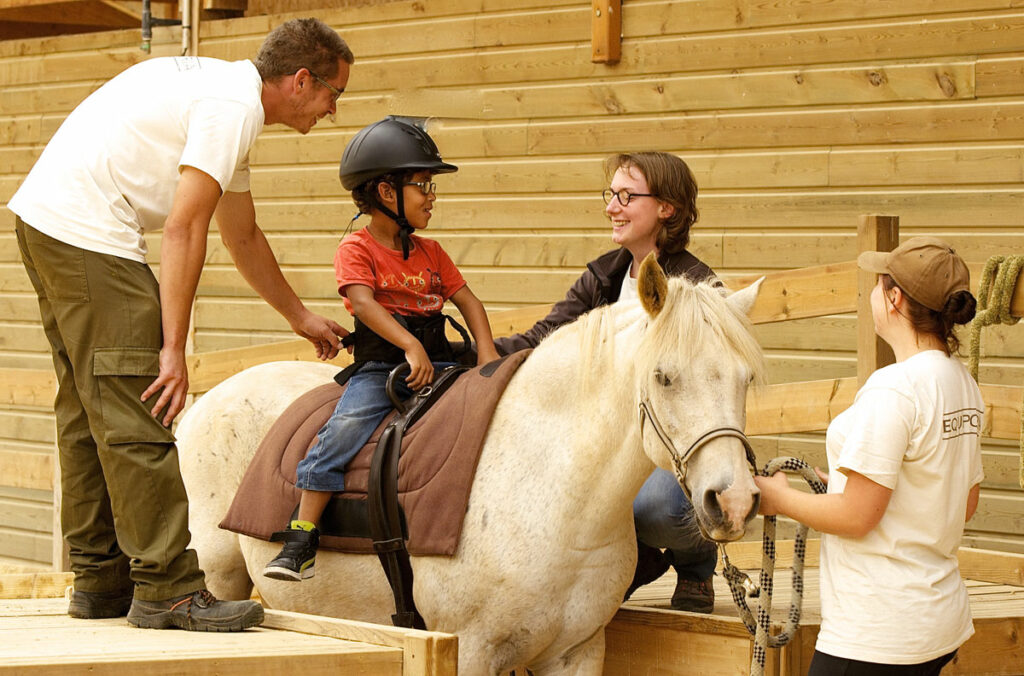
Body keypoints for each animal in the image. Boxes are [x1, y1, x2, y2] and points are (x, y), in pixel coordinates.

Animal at [180, 256, 765, 671]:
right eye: (664, 377)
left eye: (747, 378)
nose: (733, 500)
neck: (558, 500)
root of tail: (198, 408)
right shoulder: (473, 652)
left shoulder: (576, 654)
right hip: (220, 572)